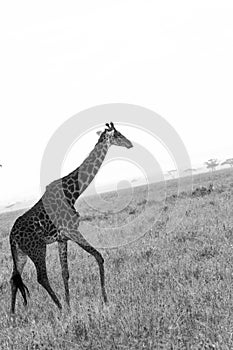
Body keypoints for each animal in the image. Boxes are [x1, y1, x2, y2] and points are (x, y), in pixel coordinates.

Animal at [9, 121, 133, 314]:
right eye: (118, 135)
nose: (130, 144)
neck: (73, 193)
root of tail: (11, 236)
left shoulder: (62, 238)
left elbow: (64, 272)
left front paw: (69, 304)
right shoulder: (72, 230)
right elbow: (99, 256)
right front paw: (105, 301)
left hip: (20, 253)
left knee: (14, 278)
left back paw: (14, 314)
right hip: (37, 248)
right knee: (41, 277)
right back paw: (59, 308)